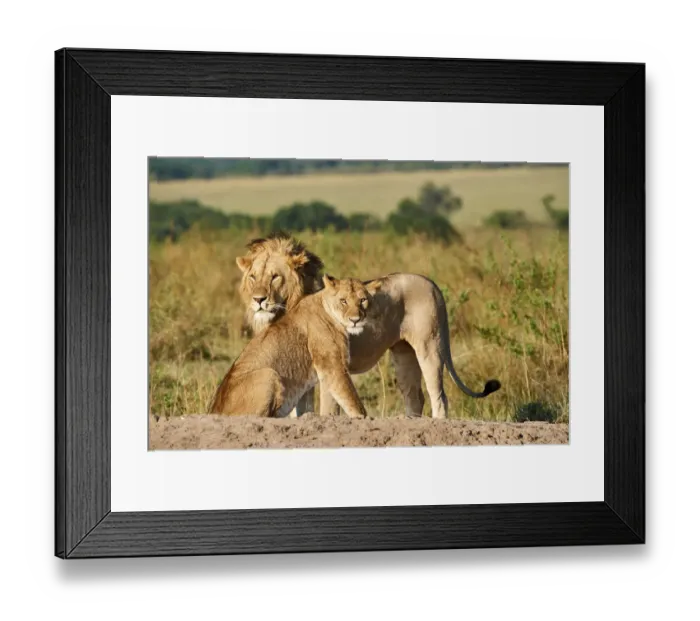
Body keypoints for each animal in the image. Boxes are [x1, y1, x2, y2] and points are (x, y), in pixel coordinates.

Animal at [209, 276, 381, 418]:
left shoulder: (326, 372)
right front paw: (364, 419)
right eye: (343, 301)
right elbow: (352, 400)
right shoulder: (333, 366)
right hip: (269, 373)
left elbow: (328, 404)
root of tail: (214, 410)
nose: (355, 320)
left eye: (363, 300)